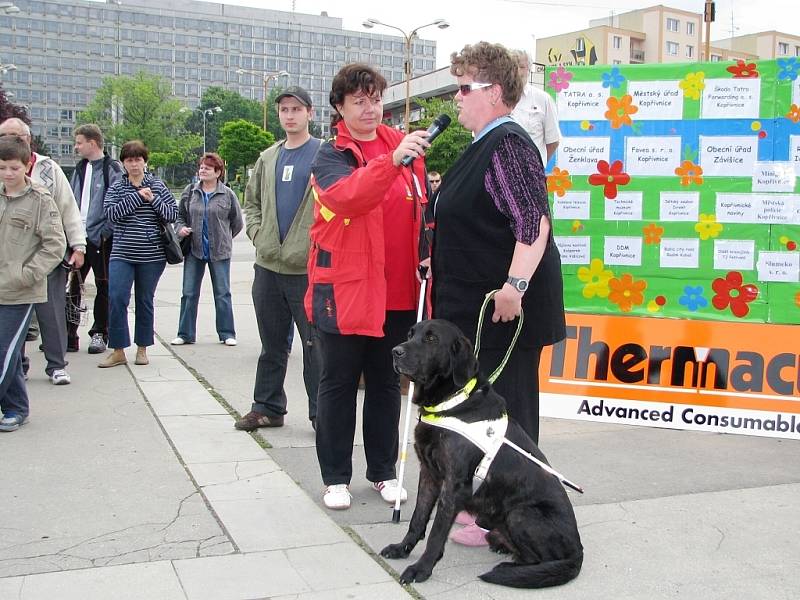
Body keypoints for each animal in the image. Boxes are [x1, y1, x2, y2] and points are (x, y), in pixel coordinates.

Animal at [382, 322, 580, 588]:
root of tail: (578, 552)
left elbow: (436, 533)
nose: (395, 351)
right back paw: (501, 545)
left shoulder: (455, 486)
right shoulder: (430, 475)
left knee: (541, 559)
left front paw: (421, 569)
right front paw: (402, 548)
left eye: (431, 339)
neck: (452, 402)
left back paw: (510, 566)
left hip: (520, 514)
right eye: (410, 334)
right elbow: (418, 519)